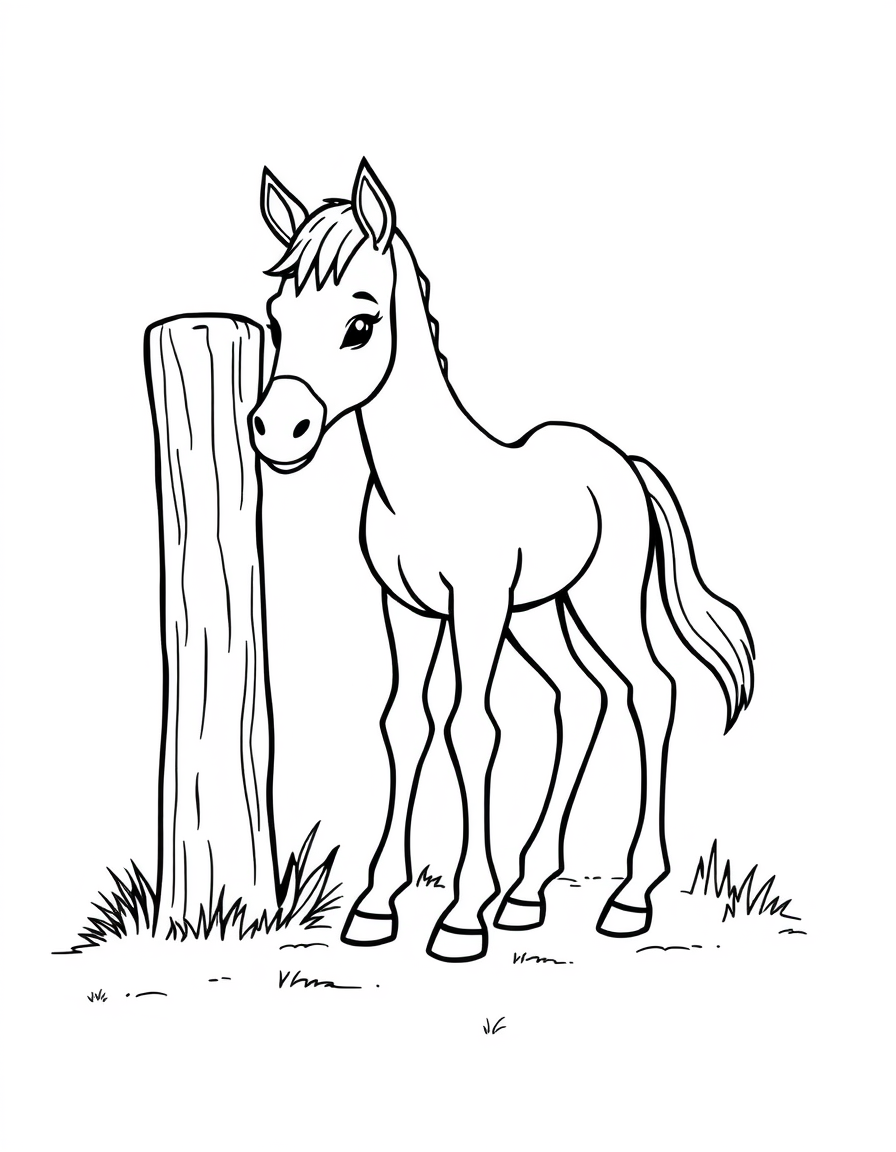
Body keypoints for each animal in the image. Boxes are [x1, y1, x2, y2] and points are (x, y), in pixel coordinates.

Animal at [250, 158, 755, 962]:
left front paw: (460, 917)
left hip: (599, 604)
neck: (426, 479)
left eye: (361, 324)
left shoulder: (476, 607)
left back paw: (630, 895)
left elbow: (471, 728)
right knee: (584, 698)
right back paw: (525, 892)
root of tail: (622, 464)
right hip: (542, 614)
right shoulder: (408, 610)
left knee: (651, 690)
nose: (277, 431)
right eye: (275, 319)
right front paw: (376, 906)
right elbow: (404, 724)